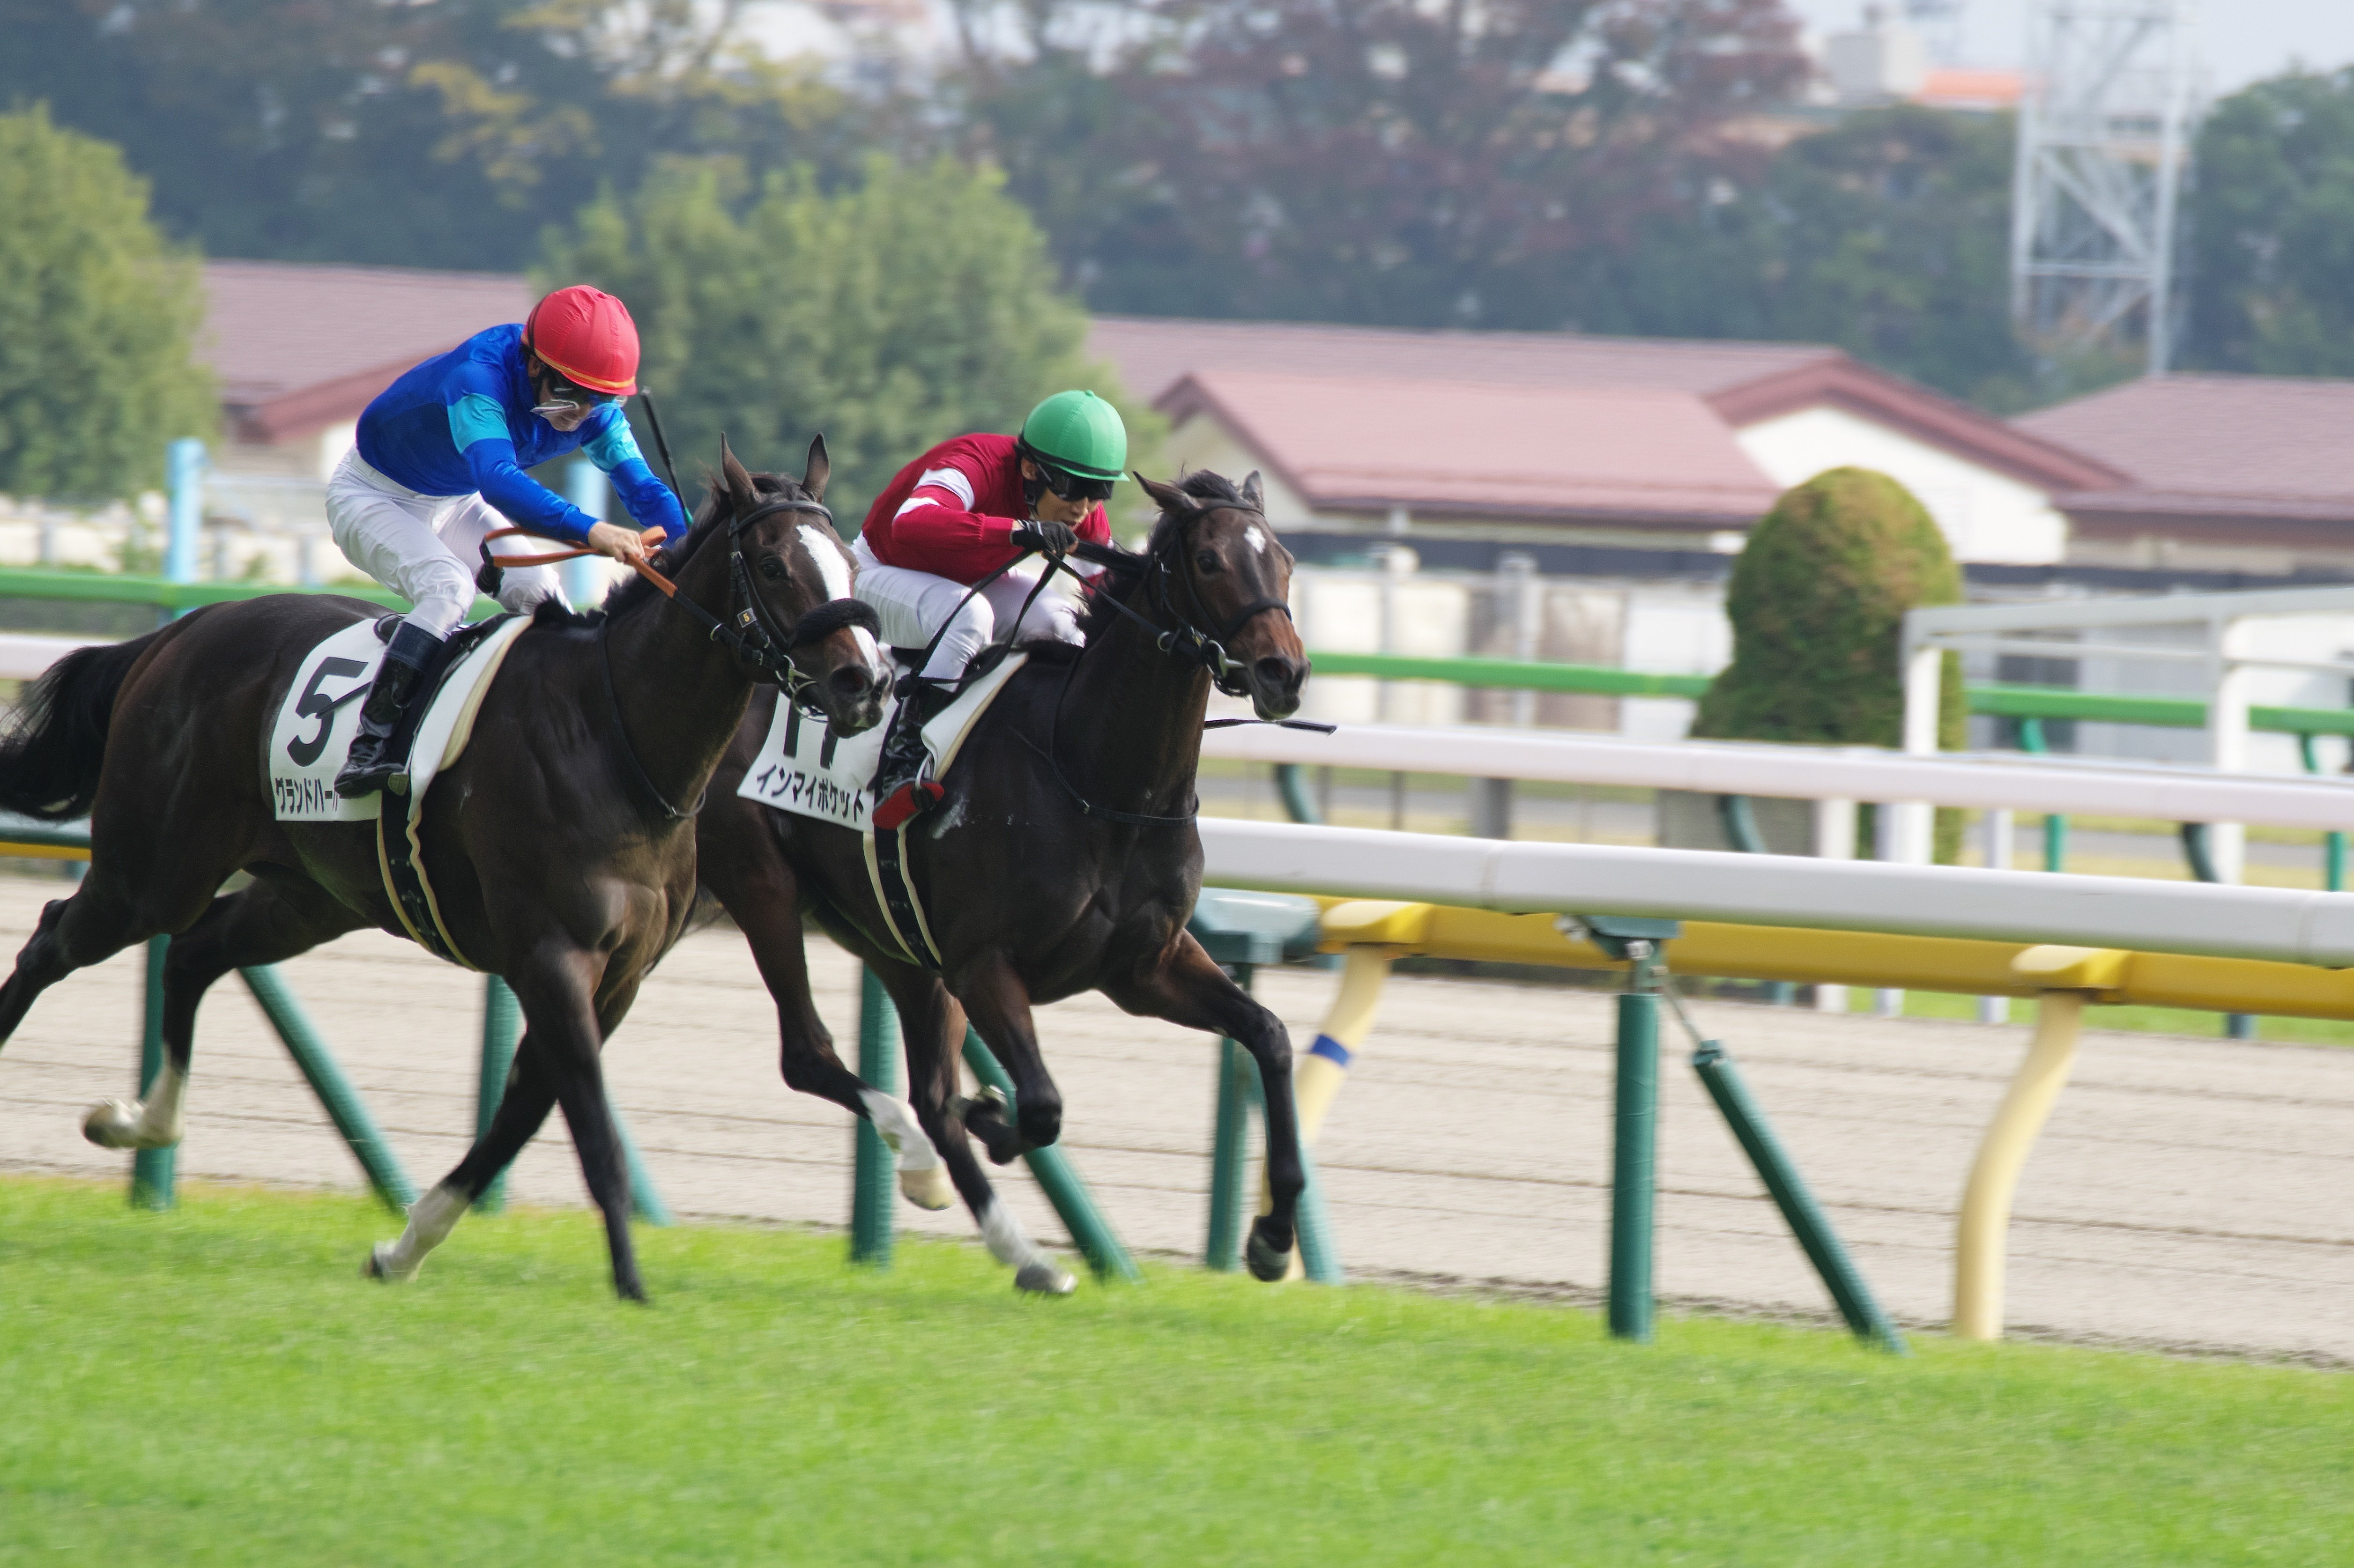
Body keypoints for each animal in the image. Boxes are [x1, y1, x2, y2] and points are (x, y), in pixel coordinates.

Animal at [0, 437, 905, 1301]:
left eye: (849, 563)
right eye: (778, 566)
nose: (867, 682)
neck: (612, 737)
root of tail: (177, 634)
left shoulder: (617, 975)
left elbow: (520, 1115)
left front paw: (402, 1249)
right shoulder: (552, 957)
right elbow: (588, 1127)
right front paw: (632, 1283)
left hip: (310, 897)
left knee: (194, 954)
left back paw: (141, 1122)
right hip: (153, 870)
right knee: (54, 940)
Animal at [695, 468, 1311, 1291]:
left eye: (1283, 560)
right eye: (1210, 561)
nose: (1284, 672)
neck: (1097, 775)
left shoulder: (1146, 967)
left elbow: (1269, 1037)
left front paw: (1272, 1237)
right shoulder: (984, 965)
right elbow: (1042, 1105)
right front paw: (993, 1115)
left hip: (896, 941)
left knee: (927, 1094)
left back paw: (1017, 1248)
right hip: (763, 886)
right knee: (812, 1055)